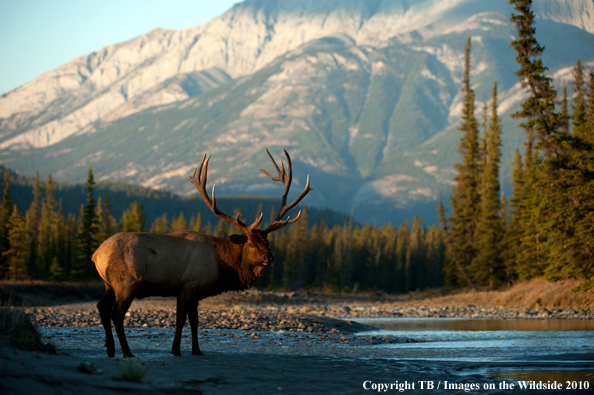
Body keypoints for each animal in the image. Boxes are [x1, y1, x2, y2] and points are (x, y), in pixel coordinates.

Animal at [92, 149, 310, 358]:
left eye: (267, 242)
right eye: (250, 244)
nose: (269, 258)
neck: (223, 265)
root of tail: (96, 255)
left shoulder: (196, 292)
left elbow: (195, 321)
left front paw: (196, 350)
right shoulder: (188, 284)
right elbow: (181, 319)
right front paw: (176, 350)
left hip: (110, 284)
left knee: (102, 307)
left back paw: (110, 349)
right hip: (127, 282)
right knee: (116, 314)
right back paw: (127, 352)